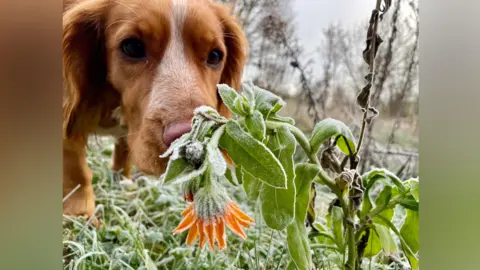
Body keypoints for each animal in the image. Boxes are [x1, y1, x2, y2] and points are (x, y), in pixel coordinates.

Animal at [62, 0, 248, 218]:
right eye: (132, 47)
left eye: (215, 56)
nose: (194, 140)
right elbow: (77, 171)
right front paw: (81, 213)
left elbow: (123, 156)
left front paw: (123, 187)